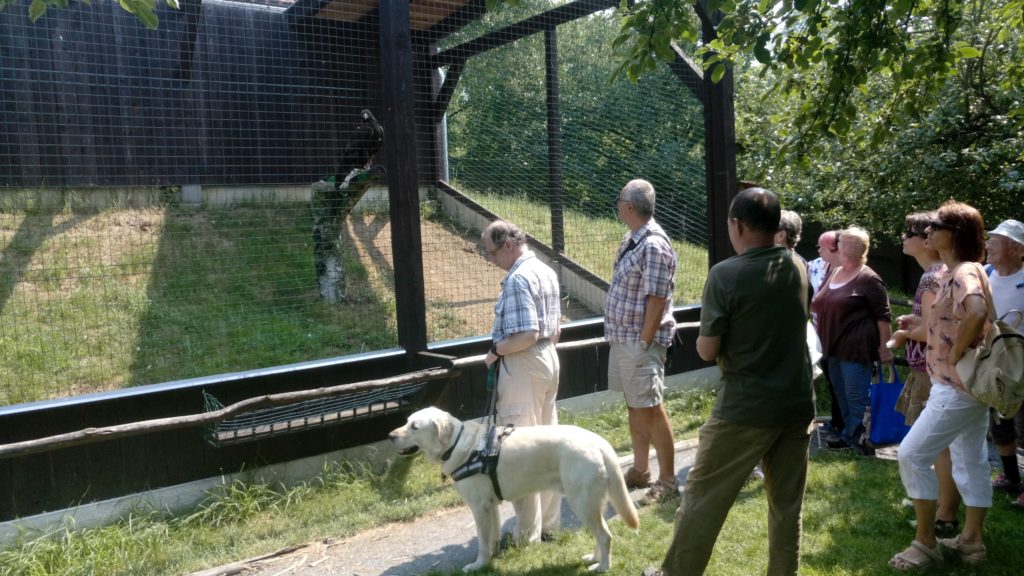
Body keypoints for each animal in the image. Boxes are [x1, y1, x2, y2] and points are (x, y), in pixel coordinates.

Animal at [389, 407, 639, 573]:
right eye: (406, 421)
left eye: (414, 426)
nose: (390, 436)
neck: (457, 444)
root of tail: (599, 441)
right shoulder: (490, 506)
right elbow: (491, 537)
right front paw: (490, 559)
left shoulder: (479, 508)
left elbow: (482, 542)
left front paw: (478, 565)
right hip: (590, 503)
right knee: (600, 534)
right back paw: (593, 559)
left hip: (582, 502)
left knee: (605, 536)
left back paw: (603, 567)